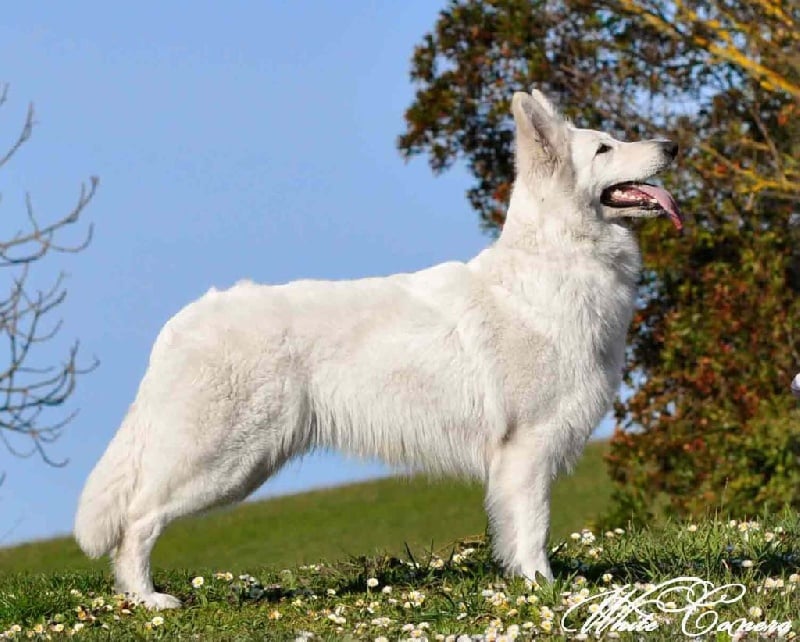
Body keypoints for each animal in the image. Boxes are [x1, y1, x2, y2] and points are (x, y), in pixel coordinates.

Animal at [75, 89, 682, 609]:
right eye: (604, 149)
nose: (673, 145)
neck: (557, 261)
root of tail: (182, 322)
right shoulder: (526, 449)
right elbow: (532, 530)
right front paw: (544, 589)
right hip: (224, 463)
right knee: (137, 521)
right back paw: (147, 599)